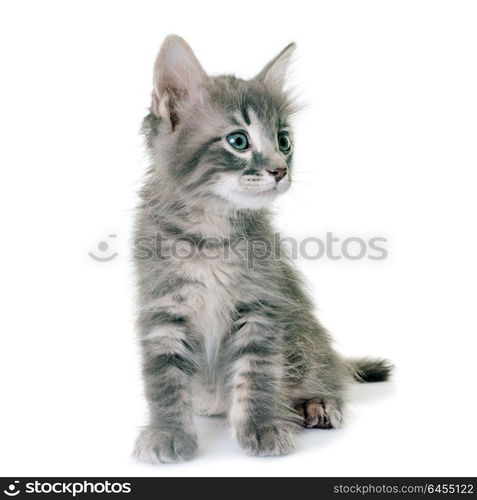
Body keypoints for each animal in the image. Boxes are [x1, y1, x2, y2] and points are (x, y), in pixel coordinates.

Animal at [131, 35, 390, 462]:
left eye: (284, 141)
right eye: (238, 141)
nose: (281, 170)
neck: (211, 235)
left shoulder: (262, 304)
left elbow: (257, 374)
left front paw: (261, 426)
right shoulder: (162, 308)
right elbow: (165, 380)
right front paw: (168, 432)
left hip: (306, 337)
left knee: (329, 372)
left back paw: (318, 404)